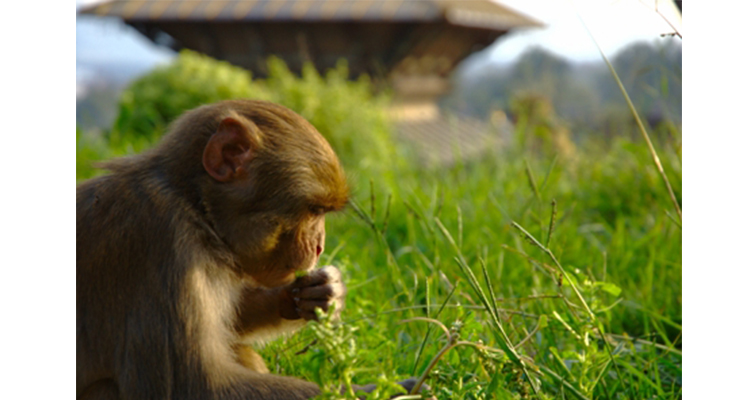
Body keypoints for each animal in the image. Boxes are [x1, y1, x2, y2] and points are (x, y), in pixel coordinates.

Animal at [77, 99, 418, 399]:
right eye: (314, 210)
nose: (320, 245)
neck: (194, 206)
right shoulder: (162, 242)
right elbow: (195, 386)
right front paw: (390, 391)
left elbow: (233, 321)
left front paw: (321, 293)